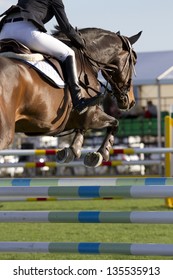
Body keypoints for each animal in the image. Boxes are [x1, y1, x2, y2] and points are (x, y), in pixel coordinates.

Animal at [0, 26, 141, 166]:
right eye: (134, 61)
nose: (131, 102)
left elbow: (104, 124)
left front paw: (80, 151)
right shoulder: (90, 113)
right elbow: (113, 123)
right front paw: (98, 152)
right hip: (6, 133)